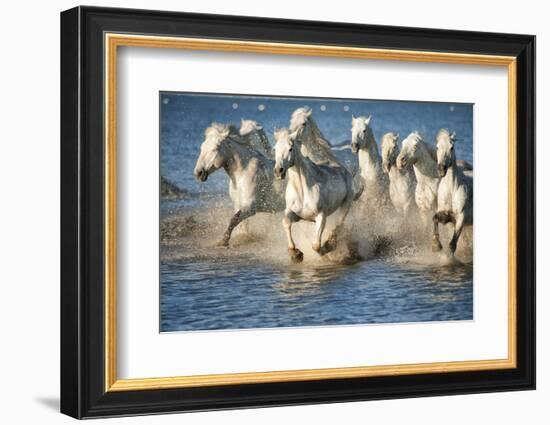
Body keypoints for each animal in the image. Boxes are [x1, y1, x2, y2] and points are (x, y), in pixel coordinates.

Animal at [272, 127, 358, 264]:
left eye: (290, 148)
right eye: (275, 149)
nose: (278, 171)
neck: (302, 191)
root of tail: (343, 169)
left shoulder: (321, 216)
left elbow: (316, 245)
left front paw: (324, 250)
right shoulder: (295, 214)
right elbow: (285, 222)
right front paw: (296, 254)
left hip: (346, 204)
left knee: (339, 225)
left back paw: (331, 246)